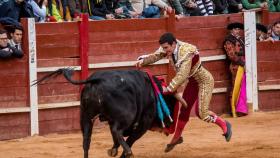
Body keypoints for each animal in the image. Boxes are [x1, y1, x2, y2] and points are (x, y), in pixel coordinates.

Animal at [33, 68, 177, 157]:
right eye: (171, 104)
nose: (170, 124)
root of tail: (97, 80)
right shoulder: (144, 123)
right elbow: (130, 138)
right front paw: (120, 152)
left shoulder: (112, 119)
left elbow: (116, 138)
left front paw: (114, 150)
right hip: (127, 116)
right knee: (116, 131)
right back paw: (128, 152)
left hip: (85, 117)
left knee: (86, 141)